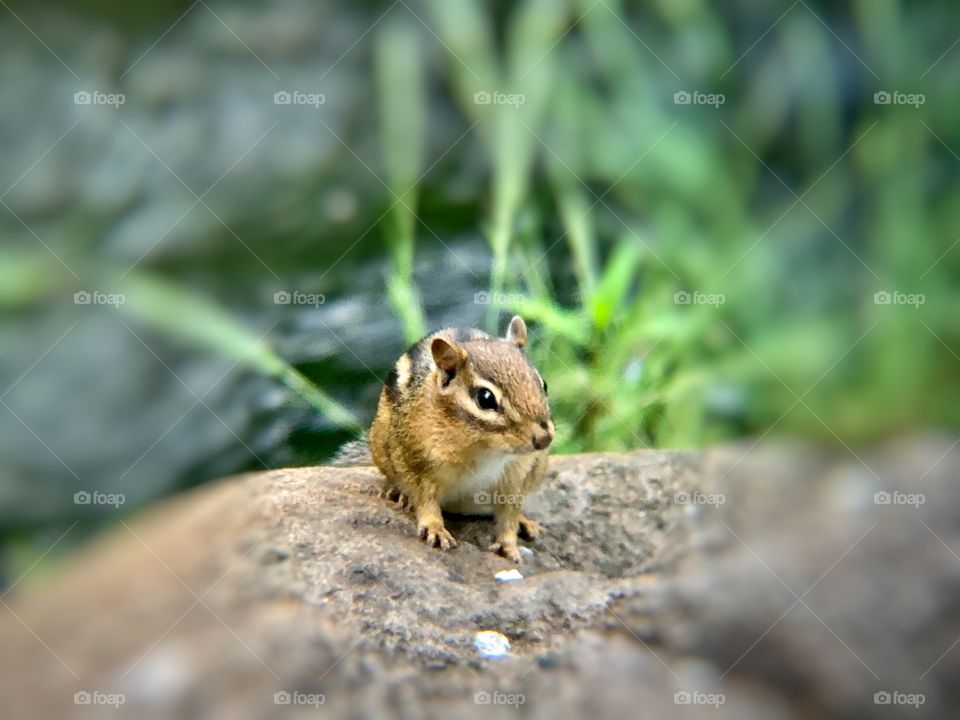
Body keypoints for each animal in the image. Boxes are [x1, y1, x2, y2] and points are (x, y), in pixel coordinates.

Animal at [334, 315, 553, 562]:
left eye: (543, 384)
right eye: (485, 398)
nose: (544, 439)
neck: (484, 449)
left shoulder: (517, 475)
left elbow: (509, 514)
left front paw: (508, 544)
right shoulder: (418, 460)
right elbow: (425, 500)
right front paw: (435, 529)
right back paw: (397, 493)